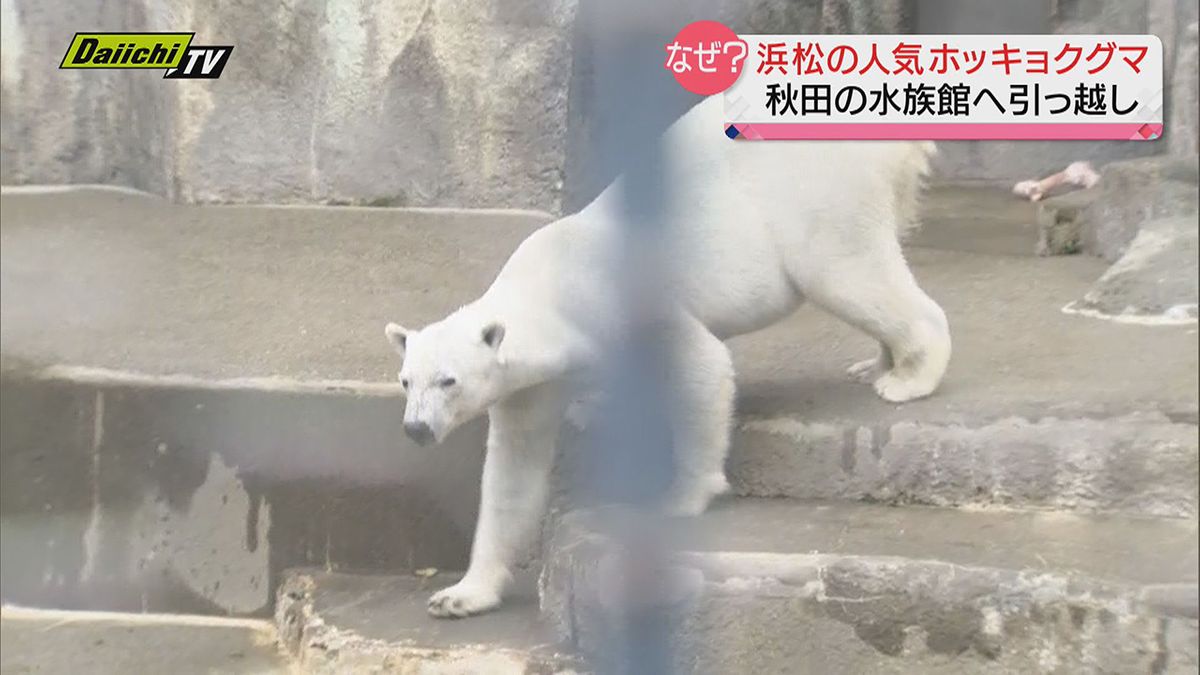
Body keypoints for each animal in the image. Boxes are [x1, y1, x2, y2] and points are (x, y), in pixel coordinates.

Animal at [381, 93, 945, 614]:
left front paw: (679, 498)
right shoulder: (533, 386)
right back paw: (878, 363)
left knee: (842, 270)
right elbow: (513, 470)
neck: (554, 288)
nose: (416, 429)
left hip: (819, 188)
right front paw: (460, 595)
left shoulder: (625, 301)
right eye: (407, 381)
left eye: (449, 381)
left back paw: (908, 376)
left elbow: (701, 369)